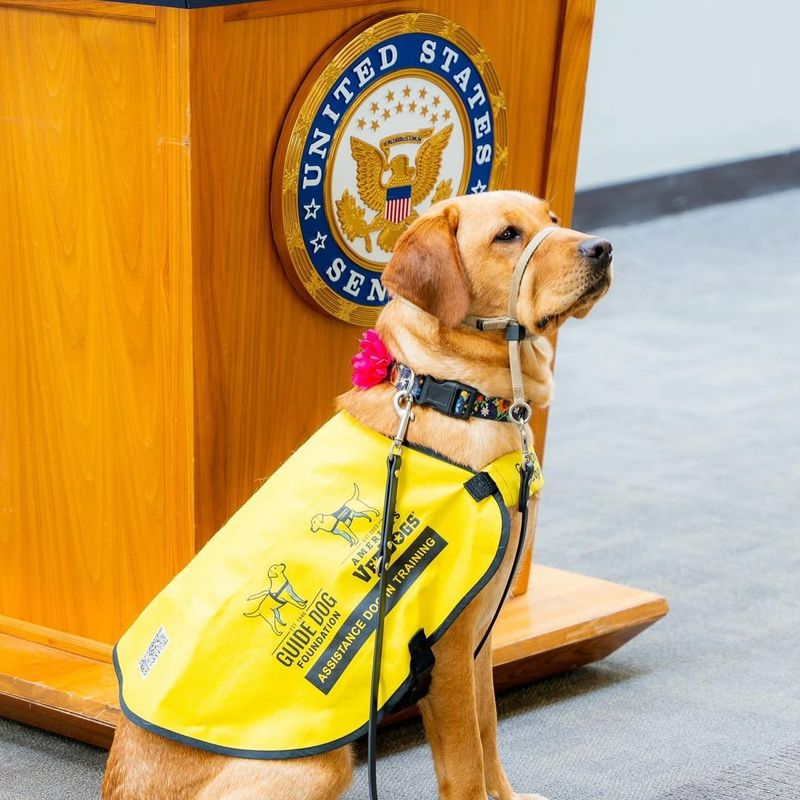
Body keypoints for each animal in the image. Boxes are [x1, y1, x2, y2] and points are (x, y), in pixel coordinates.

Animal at [100, 192, 612, 800]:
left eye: (552, 220)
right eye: (508, 235)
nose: (602, 248)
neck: (456, 396)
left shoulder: (481, 634)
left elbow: (489, 735)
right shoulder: (446, 652)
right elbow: (467, 763)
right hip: (323, 764)